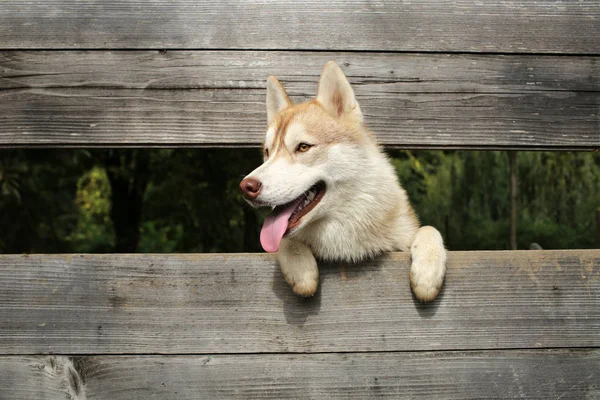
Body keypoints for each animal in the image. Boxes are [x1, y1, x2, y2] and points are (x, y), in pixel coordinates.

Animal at [240, 61, 446, 302]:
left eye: (303, 147)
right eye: (267, 151)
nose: (247, 187)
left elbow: (429, 229)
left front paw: (427, 272)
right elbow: (284, 241)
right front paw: (301, 269)